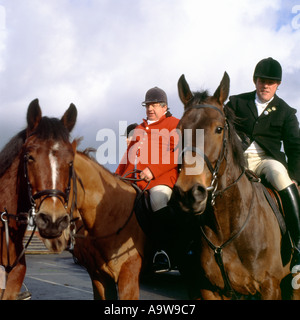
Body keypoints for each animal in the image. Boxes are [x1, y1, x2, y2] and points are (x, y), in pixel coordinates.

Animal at [169, 72, 300, 300]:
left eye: (219, 129)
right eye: (179, 130)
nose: (189, 194)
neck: (226, 226)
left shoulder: (270, 287)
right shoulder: (211, 289)